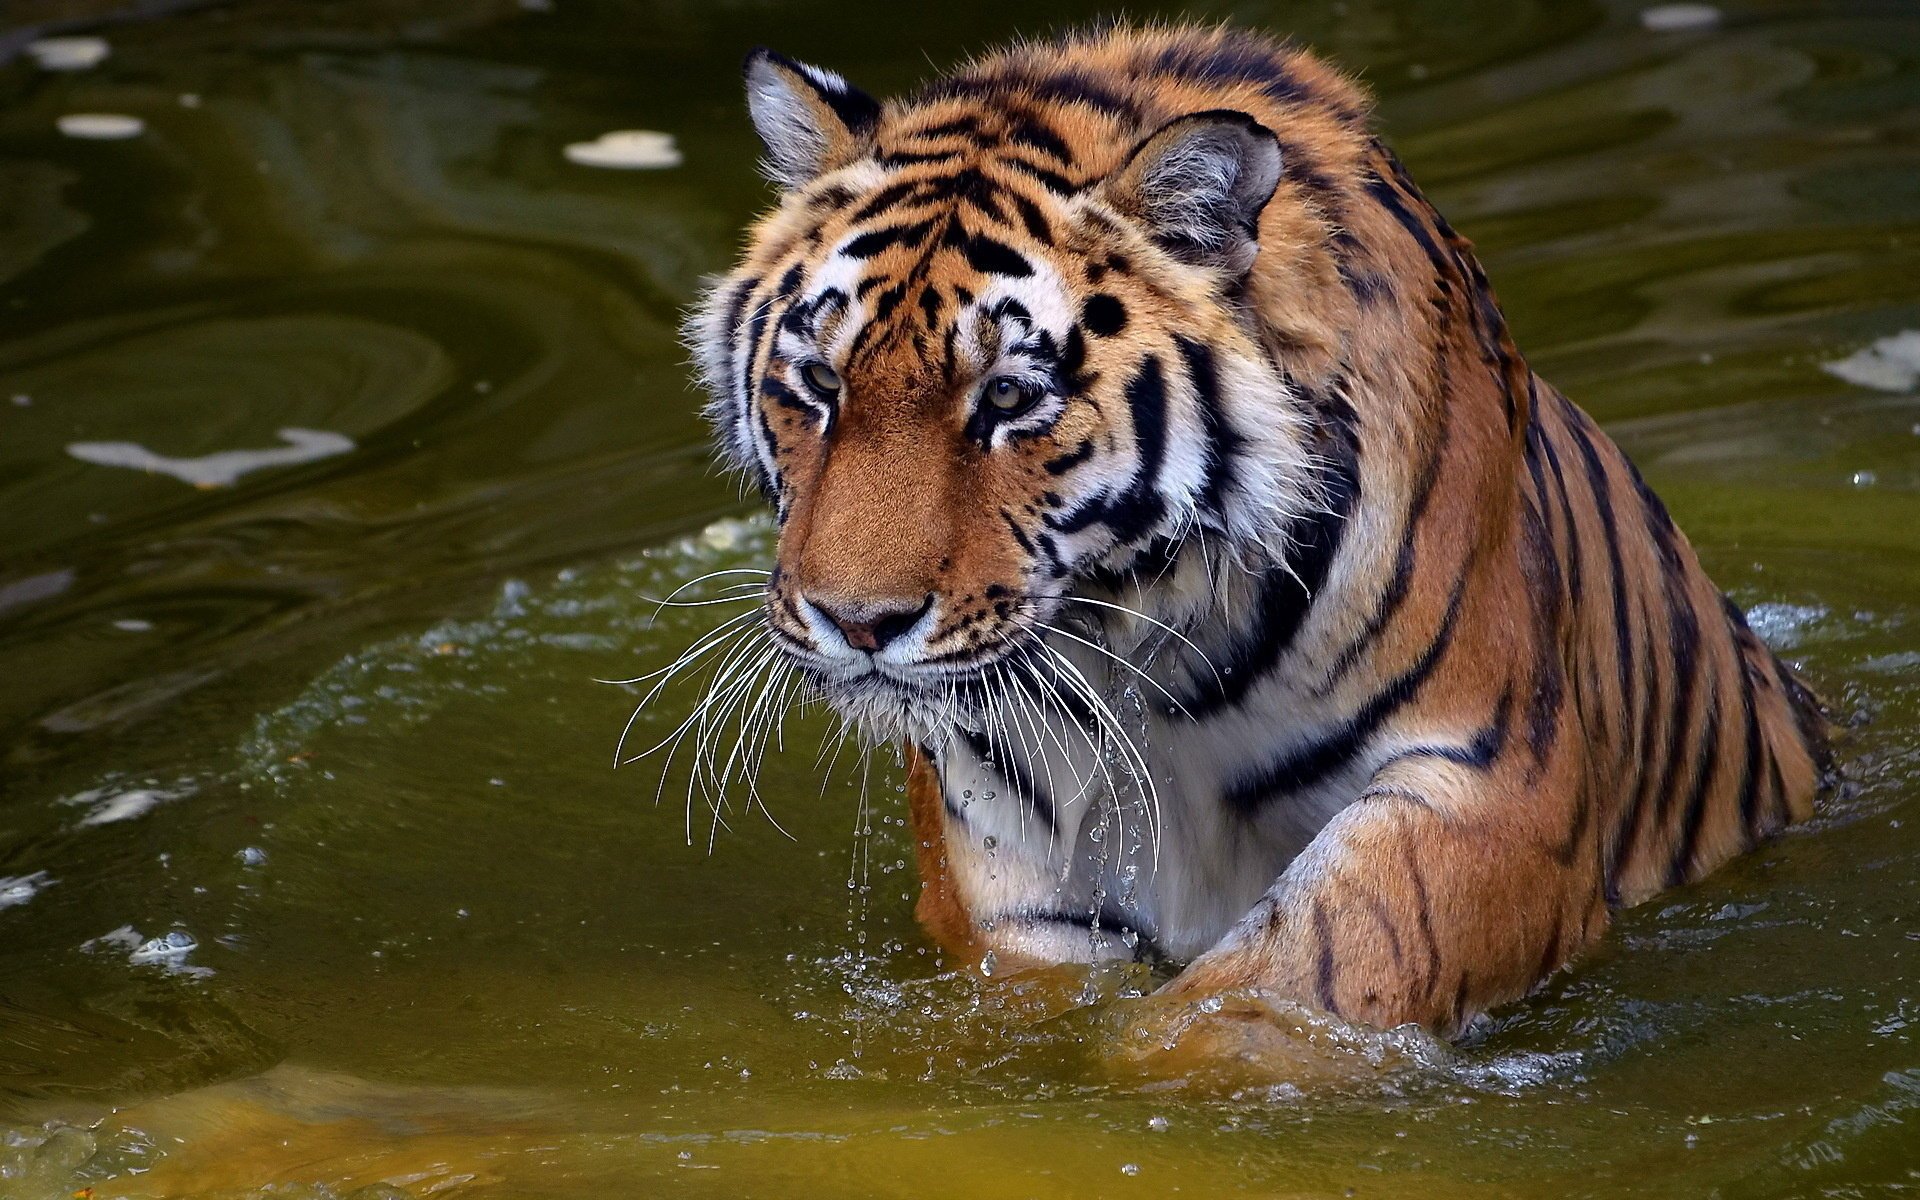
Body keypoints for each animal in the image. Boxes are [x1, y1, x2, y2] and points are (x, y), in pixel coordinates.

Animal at [684, 21, 1831, 1038]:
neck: (1141, 640)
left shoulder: (1495, 782)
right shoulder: (1007, 847)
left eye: (1009, 397)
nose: (856, 623)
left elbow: (1305, 971)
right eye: (819, 383)